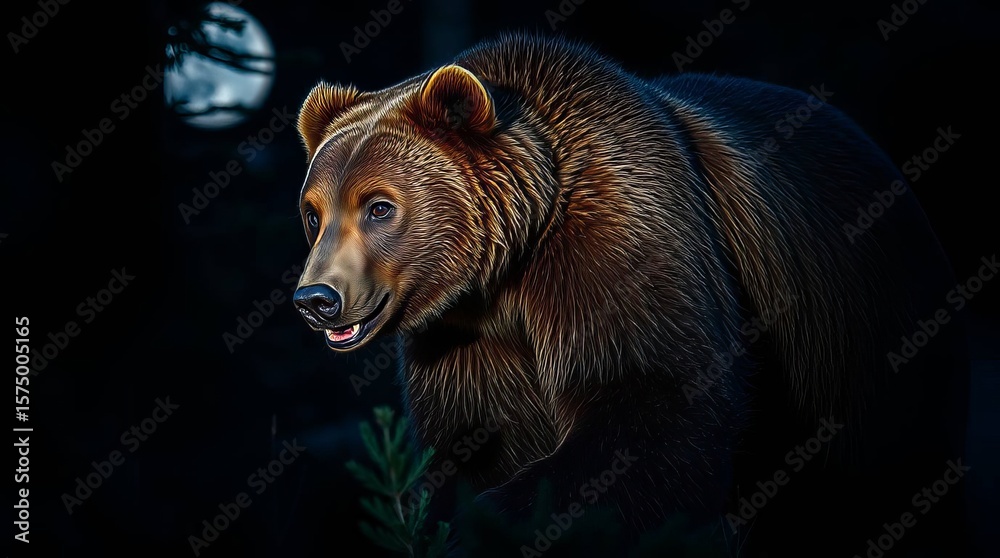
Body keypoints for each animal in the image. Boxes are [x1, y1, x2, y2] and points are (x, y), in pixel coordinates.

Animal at [291, 34, 969, 557]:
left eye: (379, 206)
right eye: (313, 212)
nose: (316, 299)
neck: (505, 270)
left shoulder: (619, 242)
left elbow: (656, 404)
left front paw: (487, 522)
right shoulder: (464, 339)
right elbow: (472, 437)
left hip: (867, 346)